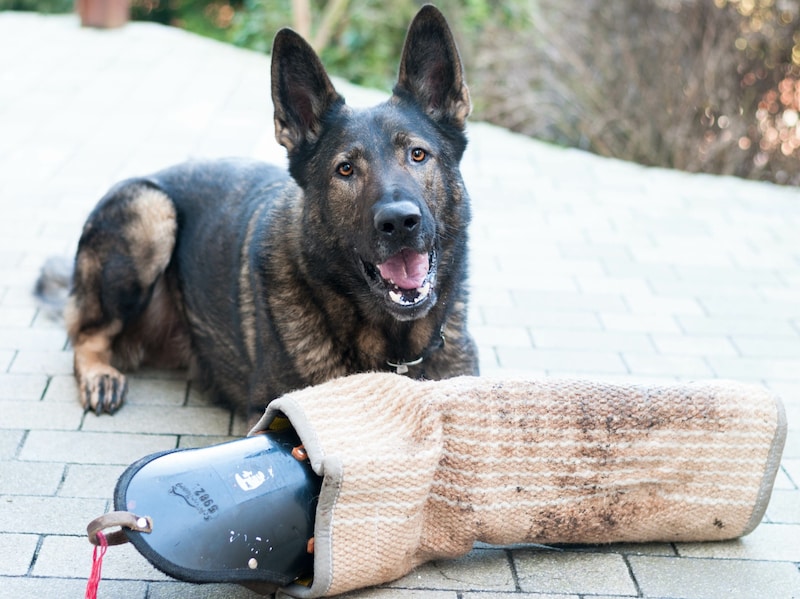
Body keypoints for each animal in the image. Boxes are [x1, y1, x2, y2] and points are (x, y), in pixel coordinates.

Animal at [61, 4, 482, 420]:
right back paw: (100, 375)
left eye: (417, 154)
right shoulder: (264, 411)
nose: (399, 222)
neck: (397, 353)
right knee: (85, 334)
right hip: (151, 209)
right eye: (345, 169)